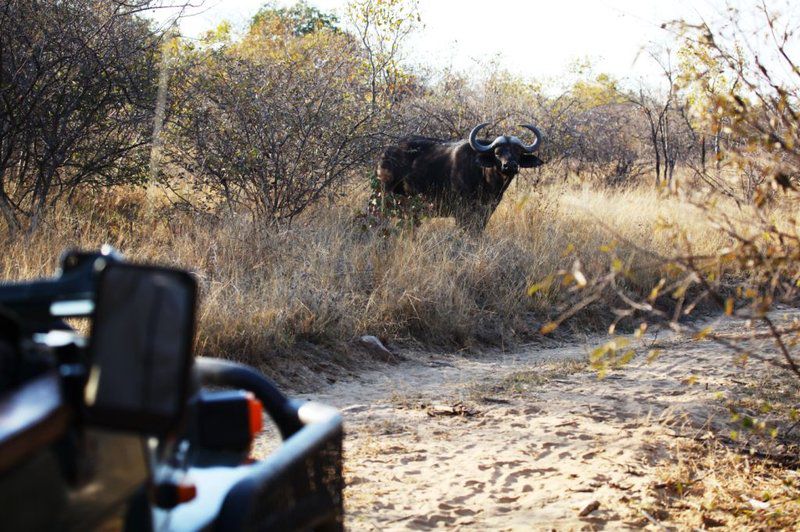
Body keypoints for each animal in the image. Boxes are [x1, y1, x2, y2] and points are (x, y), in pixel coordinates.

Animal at [376, 122, 544, 231]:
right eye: (497, 153)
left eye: (518, 152)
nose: (510, 166)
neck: (486, 180)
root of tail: (385, 154)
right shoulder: (462, 212)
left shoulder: (487, 211)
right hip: (385, 198)